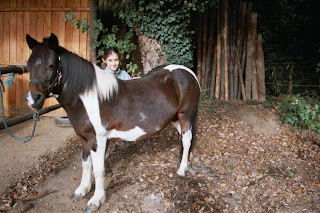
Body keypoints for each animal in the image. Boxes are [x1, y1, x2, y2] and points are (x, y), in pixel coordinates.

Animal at [24, 33, 200, 211]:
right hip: (174, 119)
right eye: (28, 65)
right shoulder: (84, 139)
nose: (33, 99)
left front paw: (96, 200)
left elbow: (98, 169)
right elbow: (85, 164)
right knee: (185, 139)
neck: (88, 97)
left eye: (51, 65)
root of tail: (188, 72)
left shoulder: (98, 140)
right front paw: (82, 190)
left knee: (186, 140)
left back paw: (182, 170)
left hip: (185, 116)